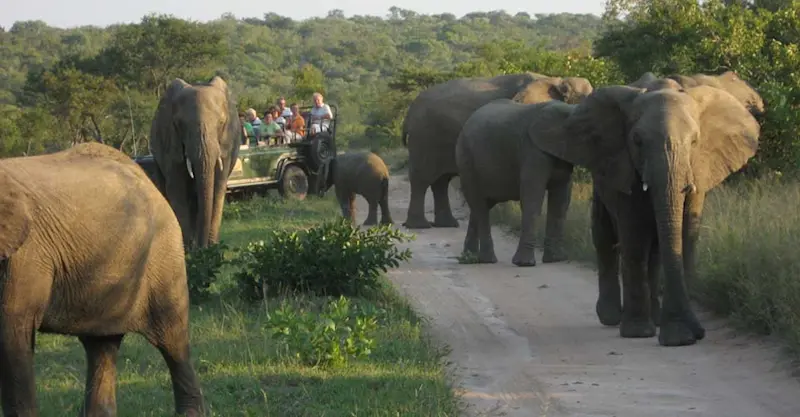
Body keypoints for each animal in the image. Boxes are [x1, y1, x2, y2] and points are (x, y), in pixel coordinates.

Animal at [150, 75, 241, 249]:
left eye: (221, 123)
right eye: (180, 124)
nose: (202, 247)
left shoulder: (227, 143)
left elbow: (218, 186)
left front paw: (212, 247)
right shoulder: (170, 141)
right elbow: (177, 187)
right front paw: (186, 248)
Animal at [401, 72, 594, 229]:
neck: (558, 80)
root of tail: (409, 112)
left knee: (442, 180)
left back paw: (447, 224)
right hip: (425, 137)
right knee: (421, 179)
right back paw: (419, 226)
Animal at [455, 99, 577, 266]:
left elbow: (561, 199)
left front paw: (556, 259)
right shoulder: (532, 150)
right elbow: (532, 198)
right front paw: (525, 264)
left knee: (479, 205)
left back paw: (469, 258)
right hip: (466, 161)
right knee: (479, 205)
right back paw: (487, 260)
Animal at [534, 84, 760, 347]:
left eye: (695, 141)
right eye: (637, 141)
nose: (700, 332)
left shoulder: (699, 172)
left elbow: (685, 237)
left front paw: (678, 335)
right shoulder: (624, 167)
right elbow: (634, 238)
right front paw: (643, 333)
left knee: (654, 250)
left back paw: (655, 318)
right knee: (605, 239)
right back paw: (613, 318)